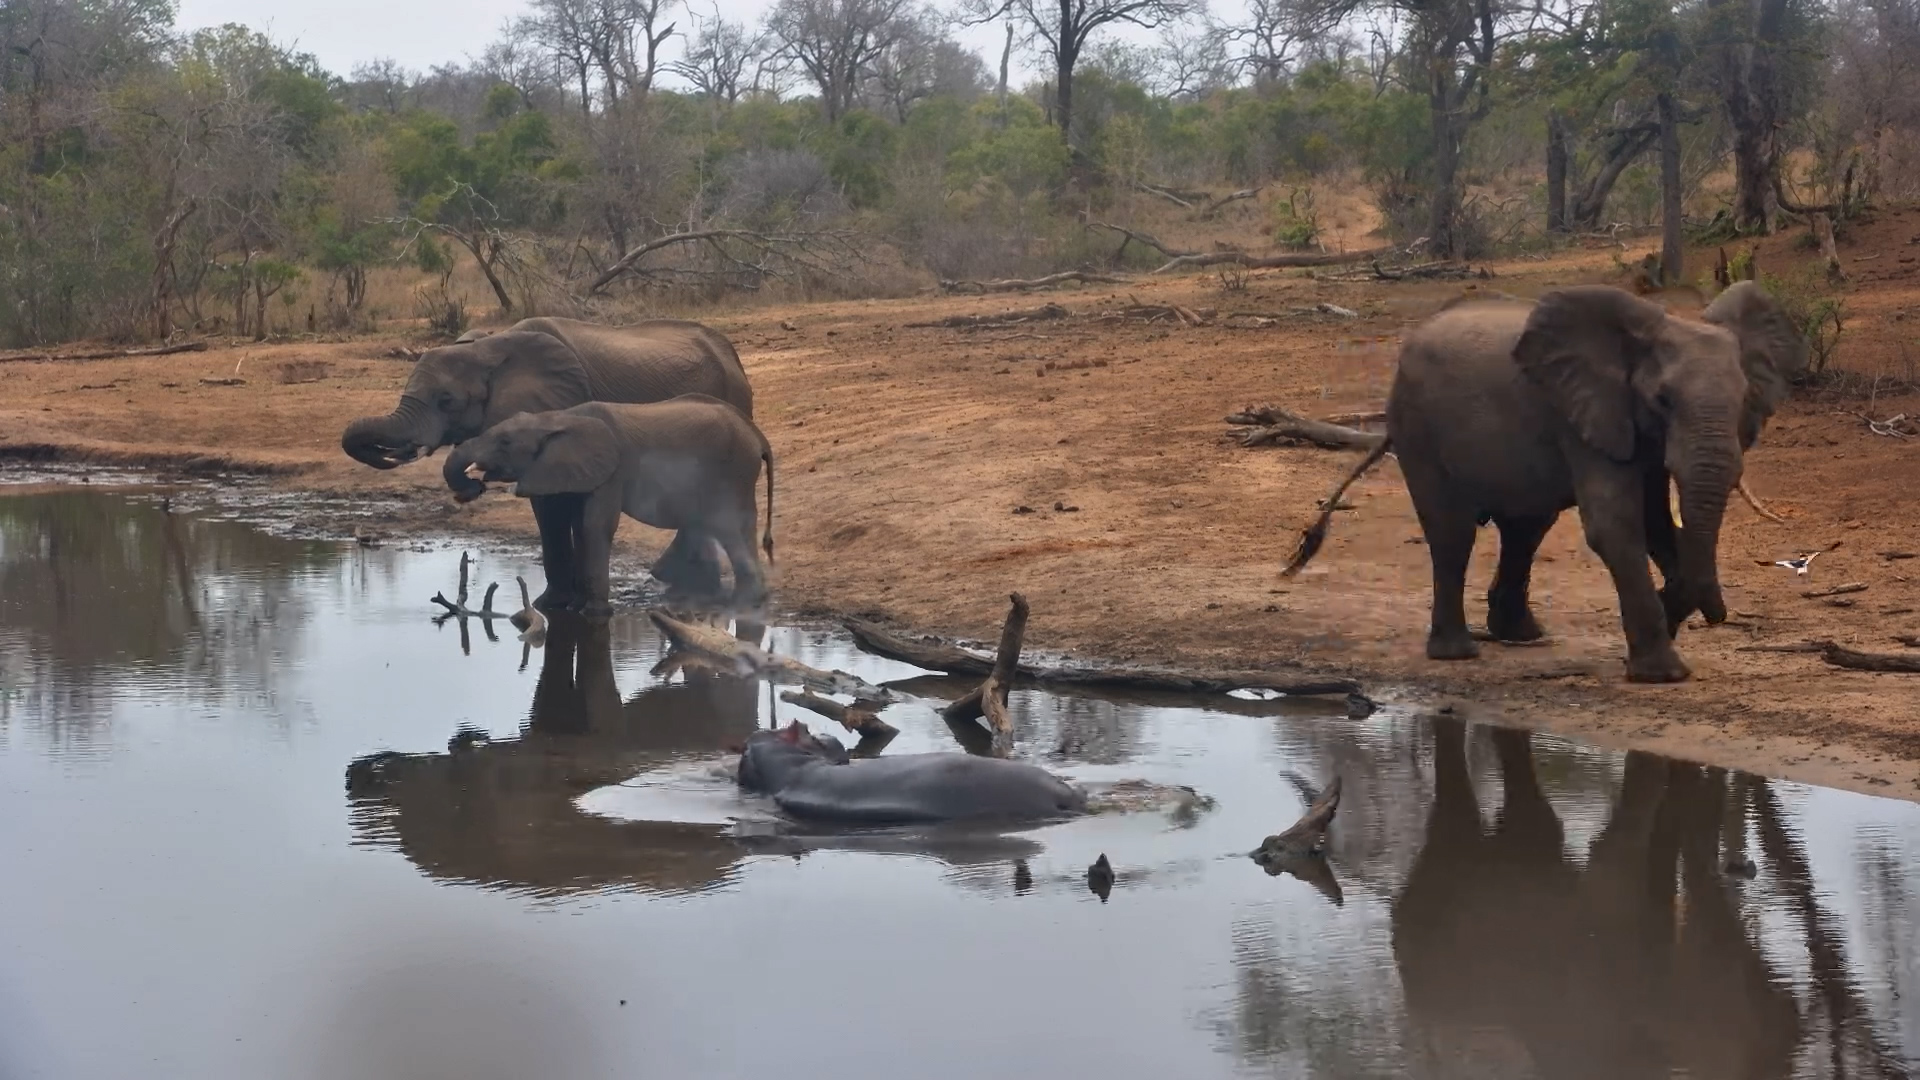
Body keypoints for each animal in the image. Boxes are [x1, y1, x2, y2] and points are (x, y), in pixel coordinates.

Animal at [445, 397, 774, 616]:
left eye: (504, 442)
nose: (474, 487)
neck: (557, 418)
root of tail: (757, 434)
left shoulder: (613, 471)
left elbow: (593, 525)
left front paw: (592, 613)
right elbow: (574, 526)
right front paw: (559, 607)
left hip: (732, 472)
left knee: (728, 525)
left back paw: (741, 602)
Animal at [1287, 282, 1806, 683]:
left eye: (1743, 397)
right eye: (1663, 399)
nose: (1717, 616)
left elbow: (1657, 523)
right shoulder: (1581, 416)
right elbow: (1616, 524)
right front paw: (1662, 674)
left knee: (1526, 529)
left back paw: (1521, 636)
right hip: (1416, 427)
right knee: (1453, 534)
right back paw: (1458, 653)